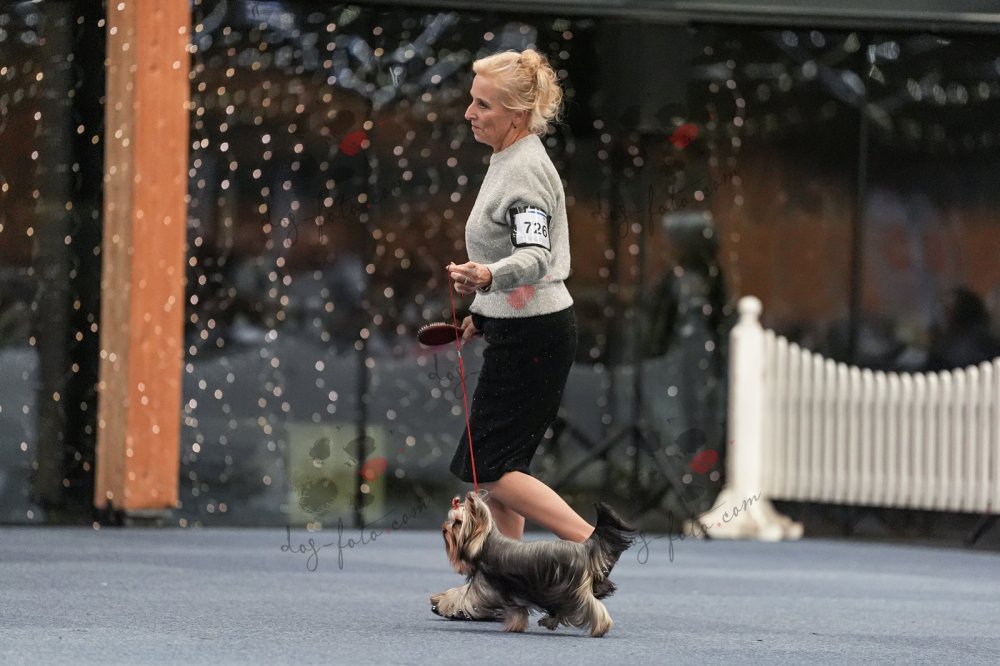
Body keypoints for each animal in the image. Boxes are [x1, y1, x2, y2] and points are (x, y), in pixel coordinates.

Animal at [430, 491, 635, 637]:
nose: (444, 528)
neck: (484, 543)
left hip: (568, 590)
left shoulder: (485, 586)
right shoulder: (511, 592)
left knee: (589, 606)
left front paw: (443, 603)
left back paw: (600, 627)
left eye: (457, 522)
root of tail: (583, 548)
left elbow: (461, 595)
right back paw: (550, 622)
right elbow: (516, 611)